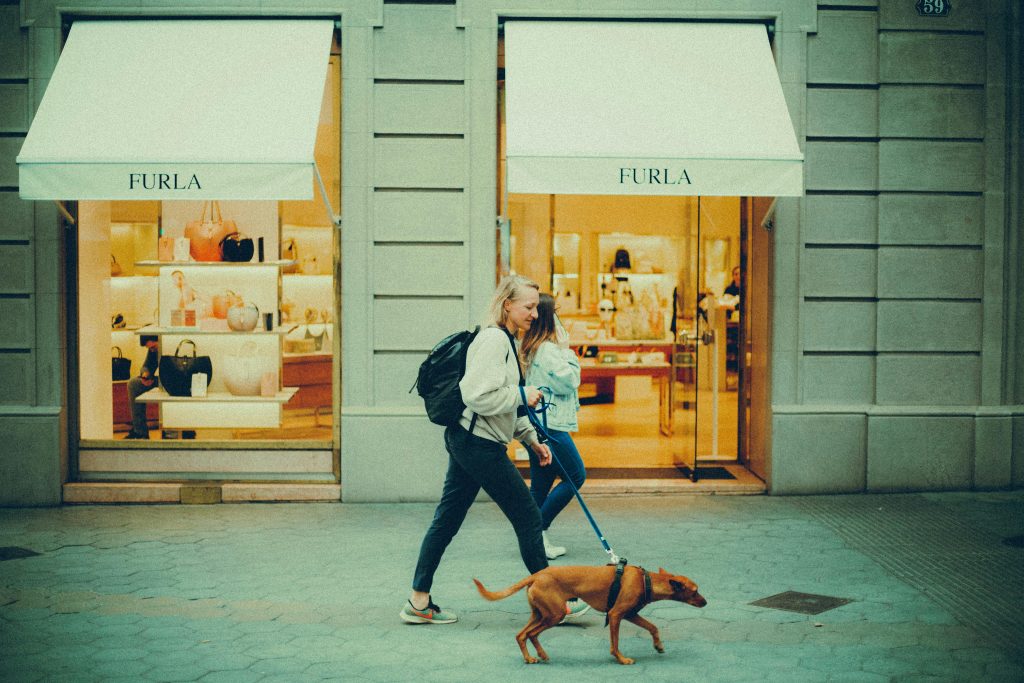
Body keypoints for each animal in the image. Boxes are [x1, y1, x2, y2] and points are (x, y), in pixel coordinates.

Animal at [473, 565, 704, 663]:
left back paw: (534, 656)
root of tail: (536, 575)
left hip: (540, 615)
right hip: (553, 615)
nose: (706, 602)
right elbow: (615, 644)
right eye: (695, 591)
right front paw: (621, 659)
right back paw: (534, 657)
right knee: (530, 634)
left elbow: (653, 627)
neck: (645, 580)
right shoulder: (616, 615)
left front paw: (658, 645)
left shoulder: (630, 614)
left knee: (522, 635)